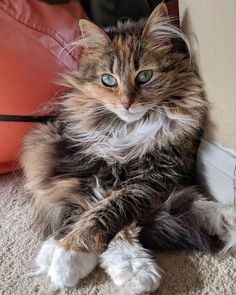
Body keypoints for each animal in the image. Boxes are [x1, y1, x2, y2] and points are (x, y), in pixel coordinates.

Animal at [20, 2, 236, 295]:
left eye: (144, 76)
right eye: (108, 80)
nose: (126, 103)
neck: (128, 131)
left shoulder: (155, 176)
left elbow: (113, 209)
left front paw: (72, 255)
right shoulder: (83, 169)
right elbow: (91, 209)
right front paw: (66, 255)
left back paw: (226, 217)